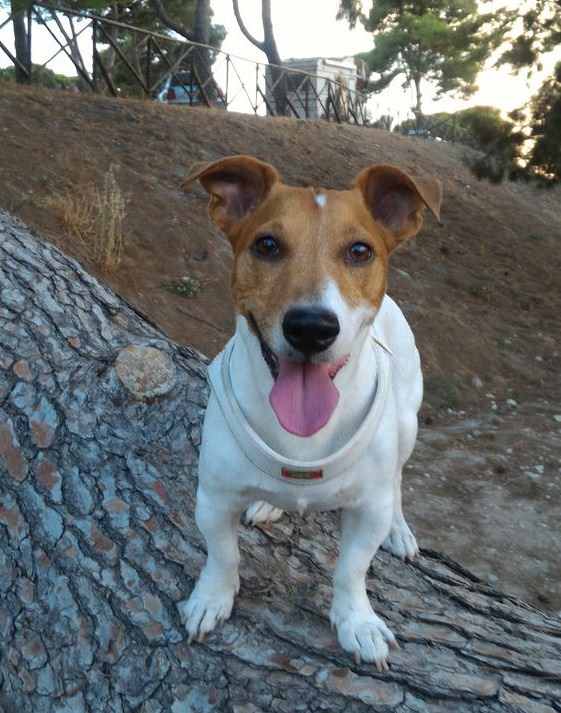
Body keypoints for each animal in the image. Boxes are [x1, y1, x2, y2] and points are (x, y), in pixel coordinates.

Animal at [179, 154, 442, 668]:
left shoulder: (368, 510)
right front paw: (212, 597)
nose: (311, 327)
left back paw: (401, 531)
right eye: (267, 245)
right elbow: (223, 555)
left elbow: (351, 569)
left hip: (406, 425)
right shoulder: (214, 498)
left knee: (399, 481)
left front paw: (358, 622)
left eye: (360, 251)